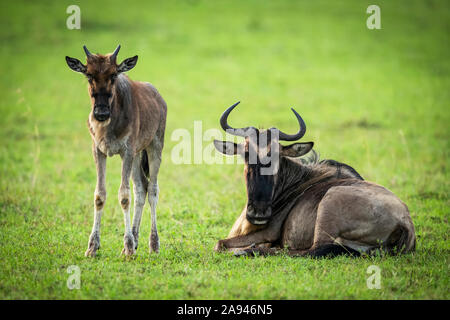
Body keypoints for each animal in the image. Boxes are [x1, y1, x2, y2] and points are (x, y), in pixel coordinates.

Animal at [66, 45, 166, 256]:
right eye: (89, 75)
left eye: (113, 75)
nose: (101, 112)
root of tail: (159, 98)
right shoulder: (99, 151)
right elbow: (99, 195)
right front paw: (92, 247)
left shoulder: (126, 152)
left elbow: (124, 196)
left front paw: (128, 247)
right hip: (137, 155)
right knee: (141, 188)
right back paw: (136, 240)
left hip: (154, 146)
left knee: (152, 189)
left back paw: (153, 244)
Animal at [214, 102, 414, 258]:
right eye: (246, 153)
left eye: (278, 154)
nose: (259, 213)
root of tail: (405, 223)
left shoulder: (268, 233)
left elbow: (220, 243)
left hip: (329, 205)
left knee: (312, 250)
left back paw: (248, 251)